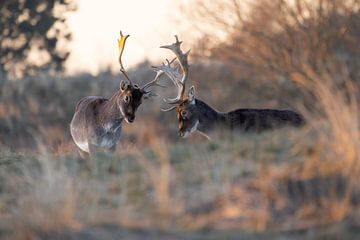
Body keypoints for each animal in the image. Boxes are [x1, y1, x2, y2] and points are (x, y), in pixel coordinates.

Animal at [70, 31, 166, 159]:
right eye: (126, 97)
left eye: (140, 102)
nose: (131, 117)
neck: (105, 128)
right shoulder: (92, 144)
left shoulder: (113, 145)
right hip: (79, 147)